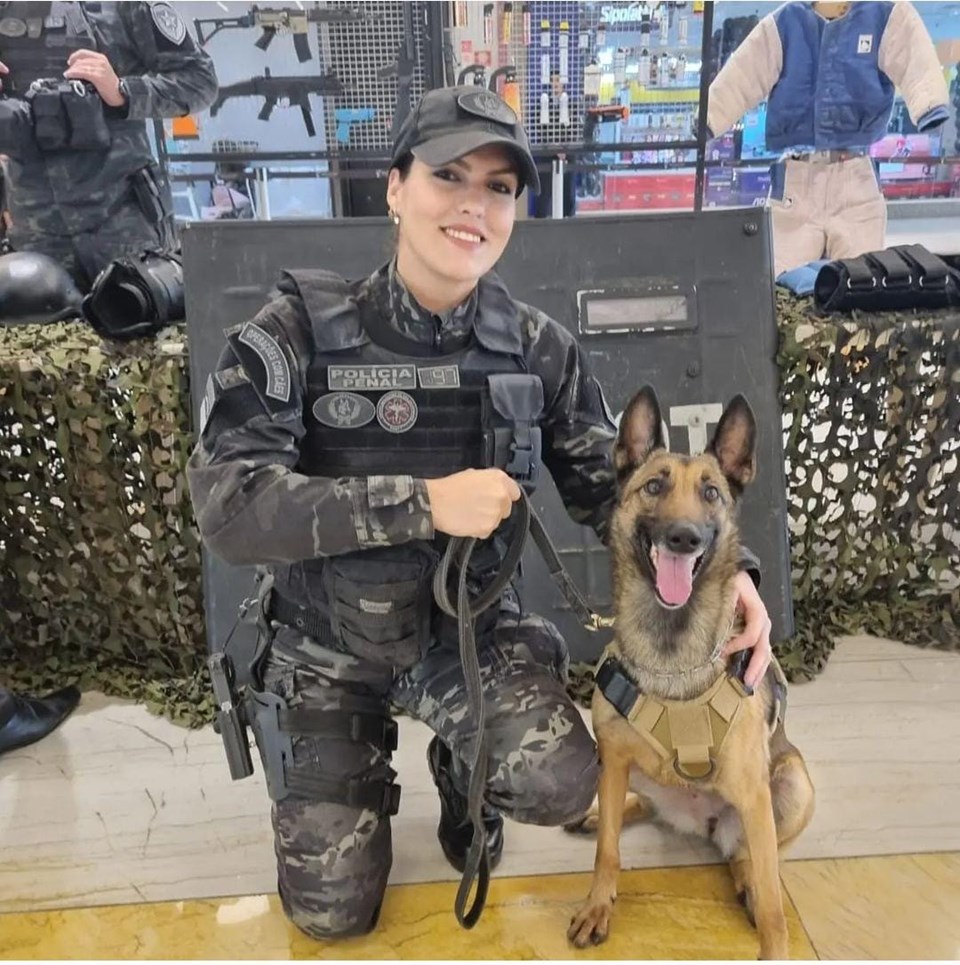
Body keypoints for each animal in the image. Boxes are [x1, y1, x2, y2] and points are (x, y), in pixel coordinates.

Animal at [565, 386, 814, 960]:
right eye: (654, 486)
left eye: (711, 493)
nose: (683, 537)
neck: (671, 651)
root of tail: (699, 821)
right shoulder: (613, 759)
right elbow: (608, 850)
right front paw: (598, 904)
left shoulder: (755, 794)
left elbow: (774, 903)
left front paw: (774, 946)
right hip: (625, 771)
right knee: (632, 808)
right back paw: (602, 813)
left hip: (791, 784)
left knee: (748, 857)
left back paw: (746, 880)